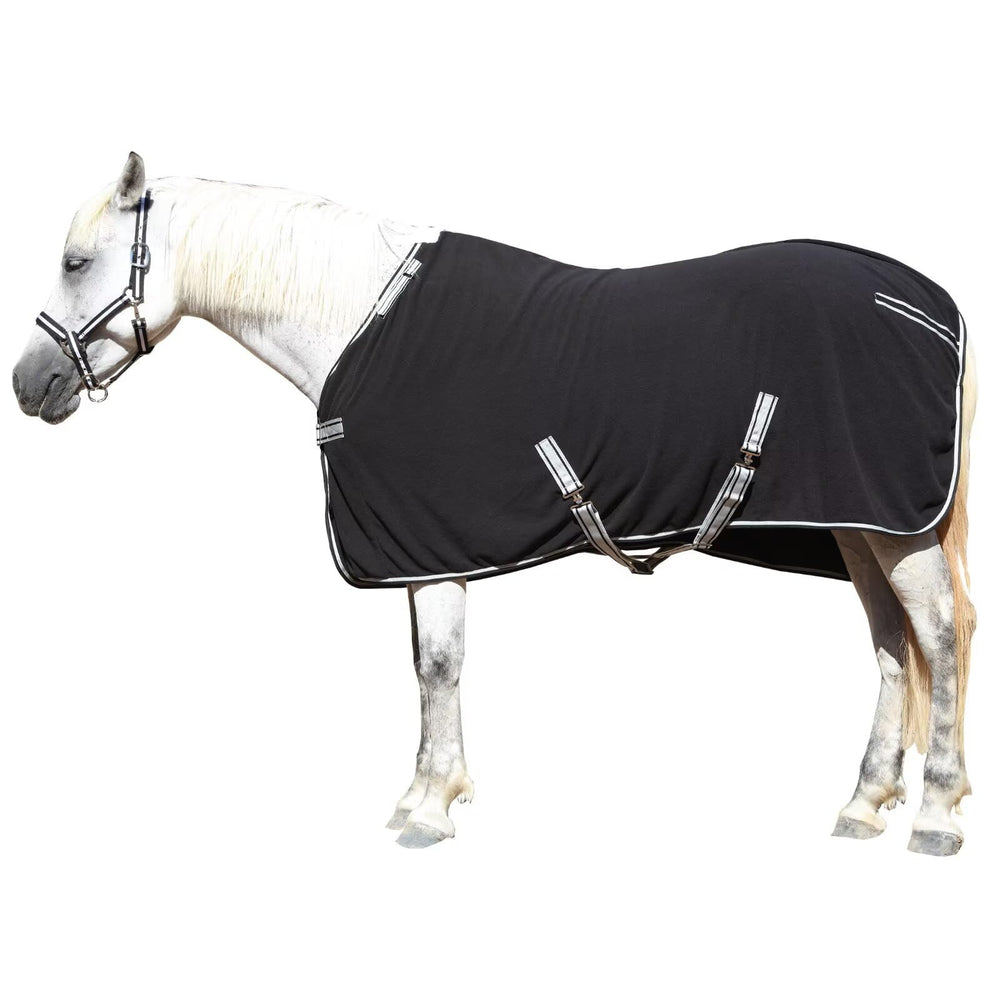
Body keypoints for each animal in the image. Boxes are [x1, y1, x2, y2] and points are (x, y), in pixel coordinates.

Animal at [13, 153, 977, 853]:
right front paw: (421, 791)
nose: (28, 385)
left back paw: (934, 815)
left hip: (893, 528)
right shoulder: (417, 547)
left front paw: (430, 811)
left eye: (74, 261)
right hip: (858, 526)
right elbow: (421, 667)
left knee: (939, 634)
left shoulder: (432, 545)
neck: (358, 319)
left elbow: (439, 666)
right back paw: (864, 803)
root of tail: (932, 305)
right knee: (892, 642)